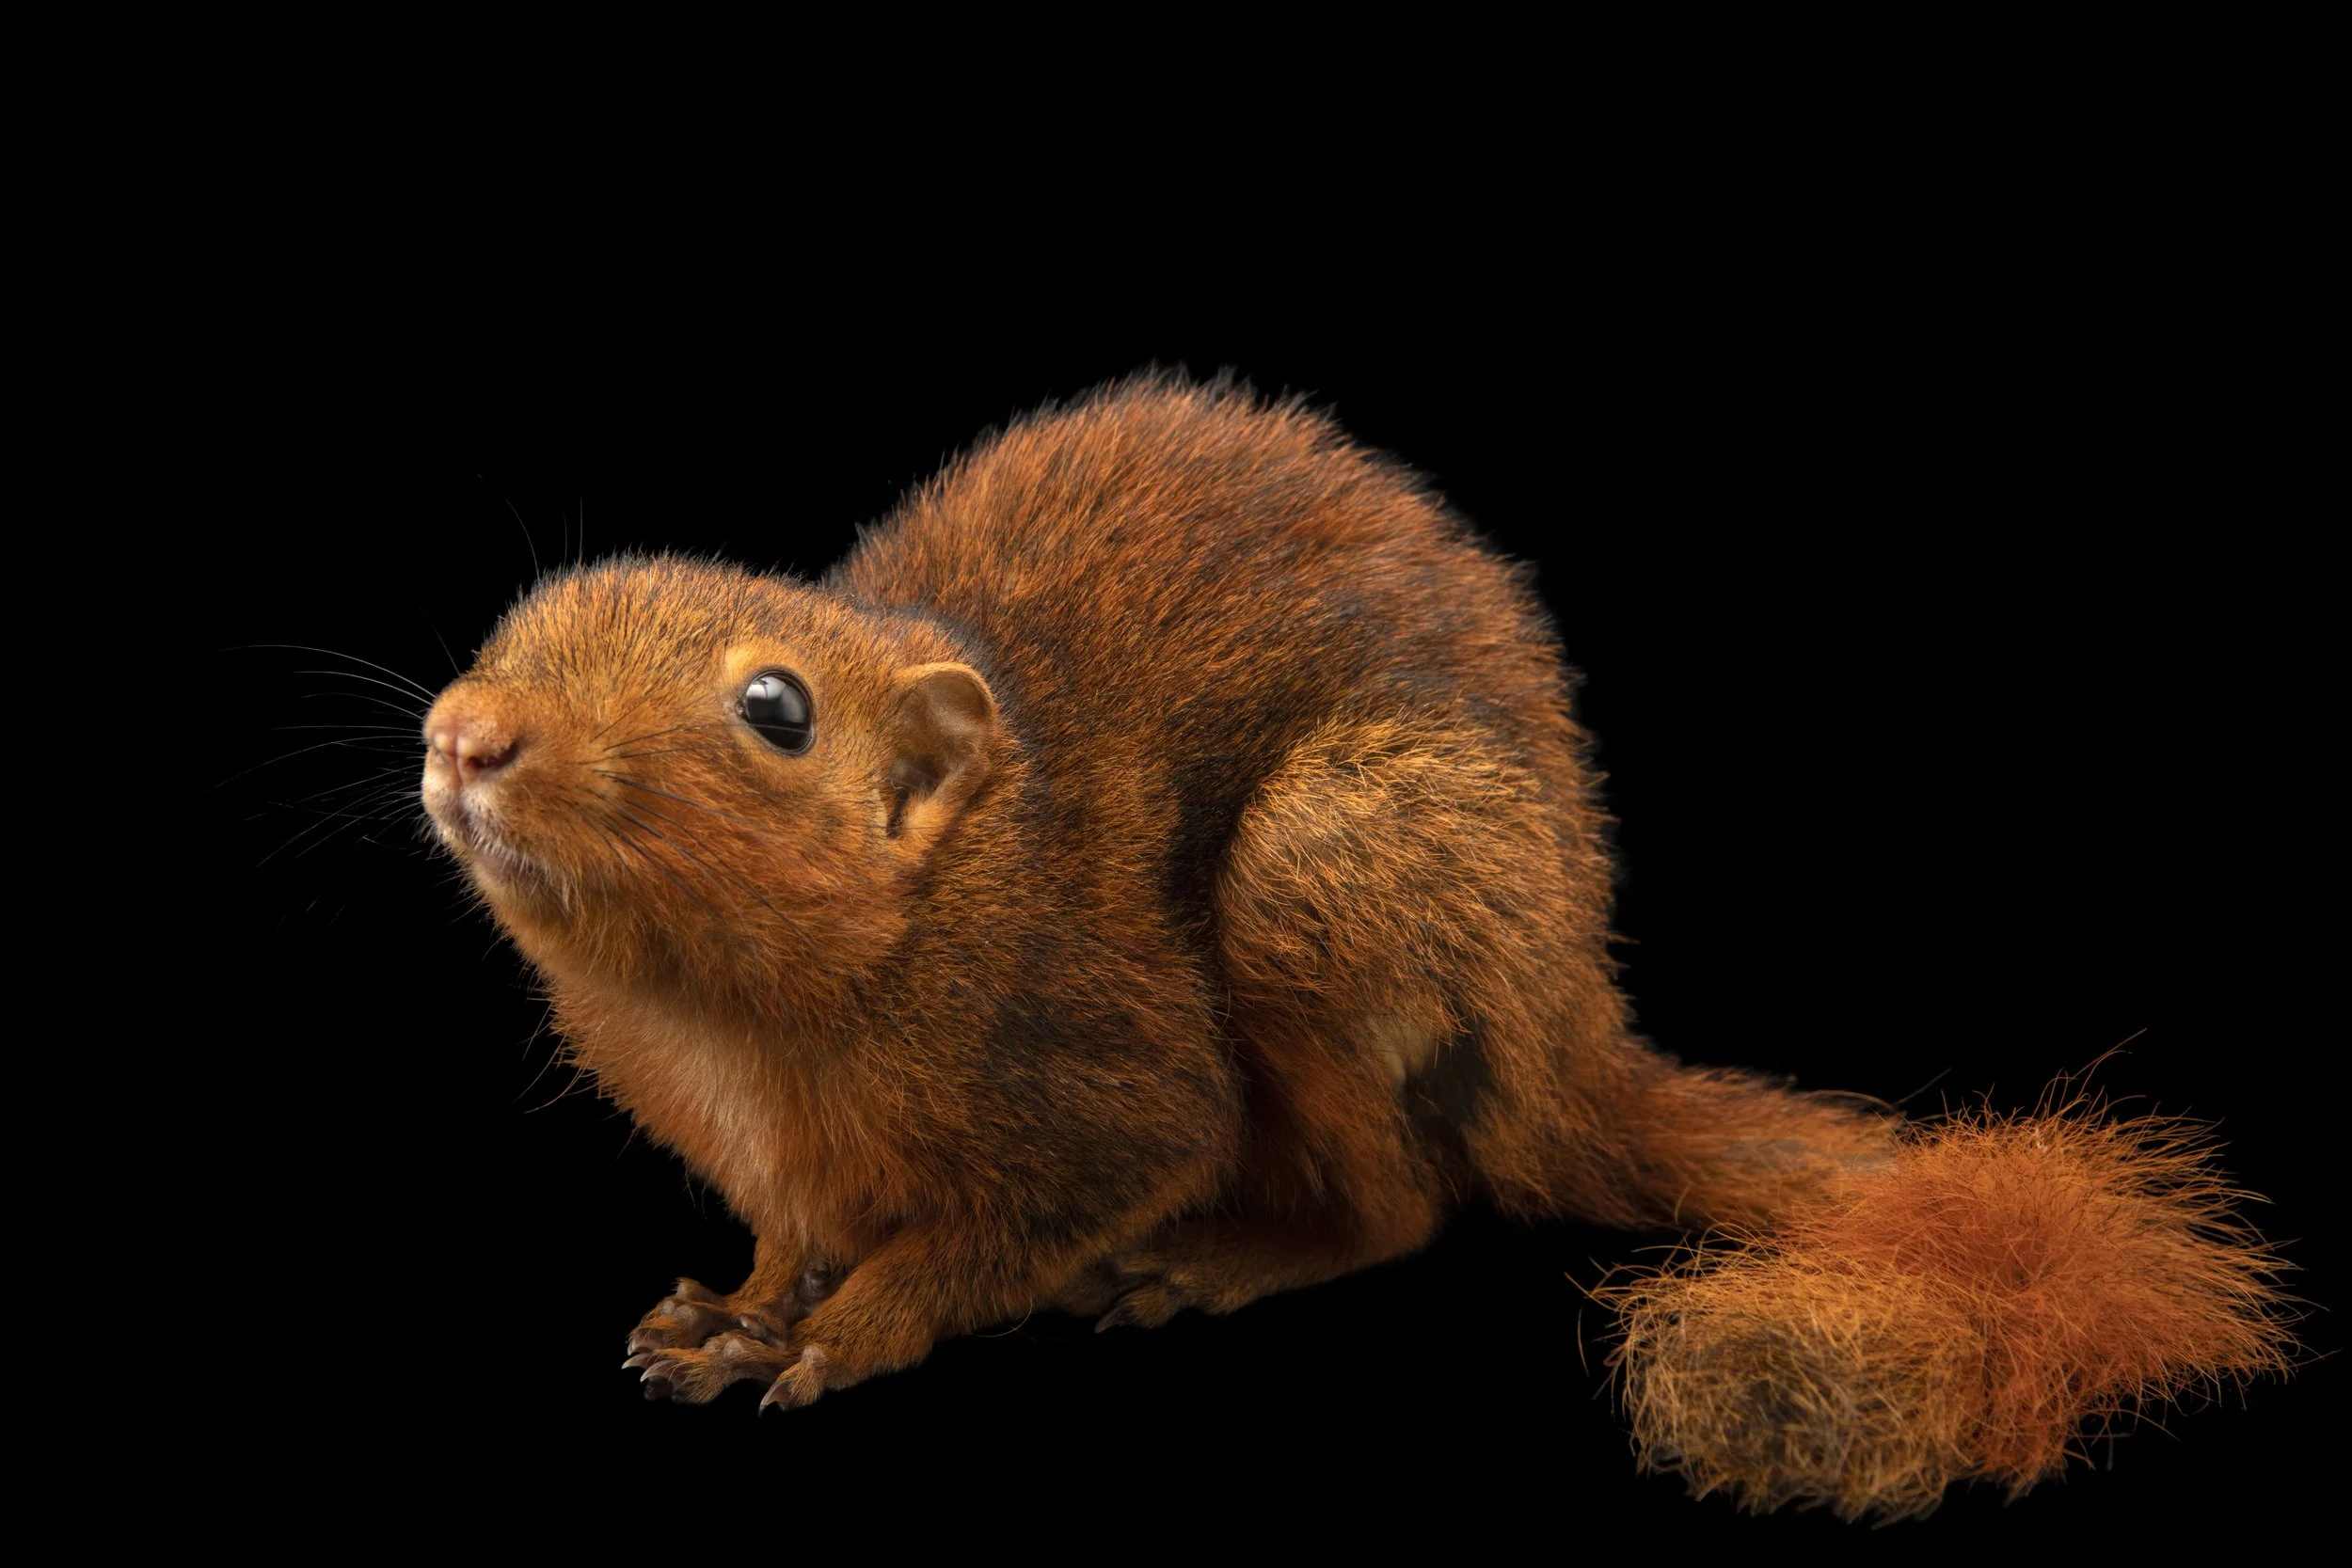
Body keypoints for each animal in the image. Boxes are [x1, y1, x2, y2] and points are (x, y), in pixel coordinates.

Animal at [421, 374, 2290, 1519]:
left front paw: (847, 1328)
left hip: (1335, 876)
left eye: (776, 708)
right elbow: (783, 1239)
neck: (734, 1046)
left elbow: (1020, 1221)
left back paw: (1226, 1257)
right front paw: (733, 1309)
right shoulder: (773, 1163)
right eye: (517, 622)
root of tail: (1566, 1043)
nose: (464, 731)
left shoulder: (1108, 1073)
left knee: (1406, 1203)